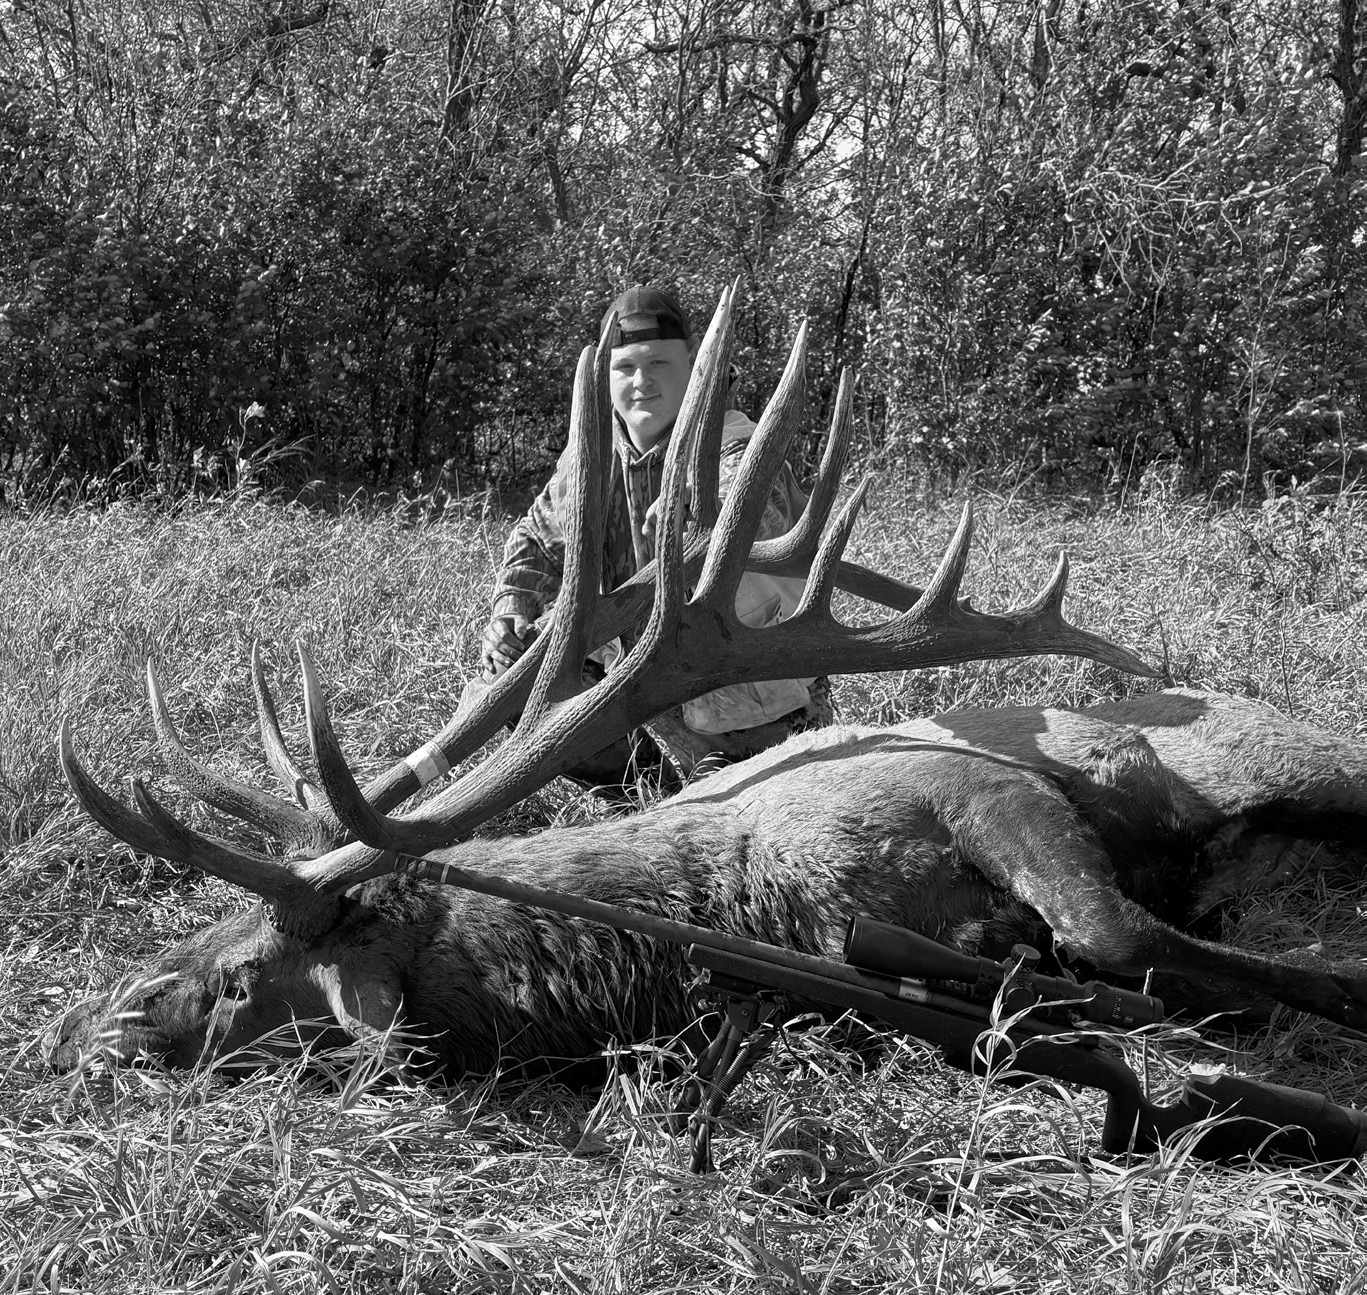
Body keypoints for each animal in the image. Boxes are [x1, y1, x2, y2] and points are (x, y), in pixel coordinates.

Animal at [50, 290, 1367, 1083]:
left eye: (236, 978)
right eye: (194, 928)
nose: (82, 1026)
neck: (753, 899)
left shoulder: (973, 785)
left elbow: (1112, 925)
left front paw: (1308, 992)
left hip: (1312, 754)